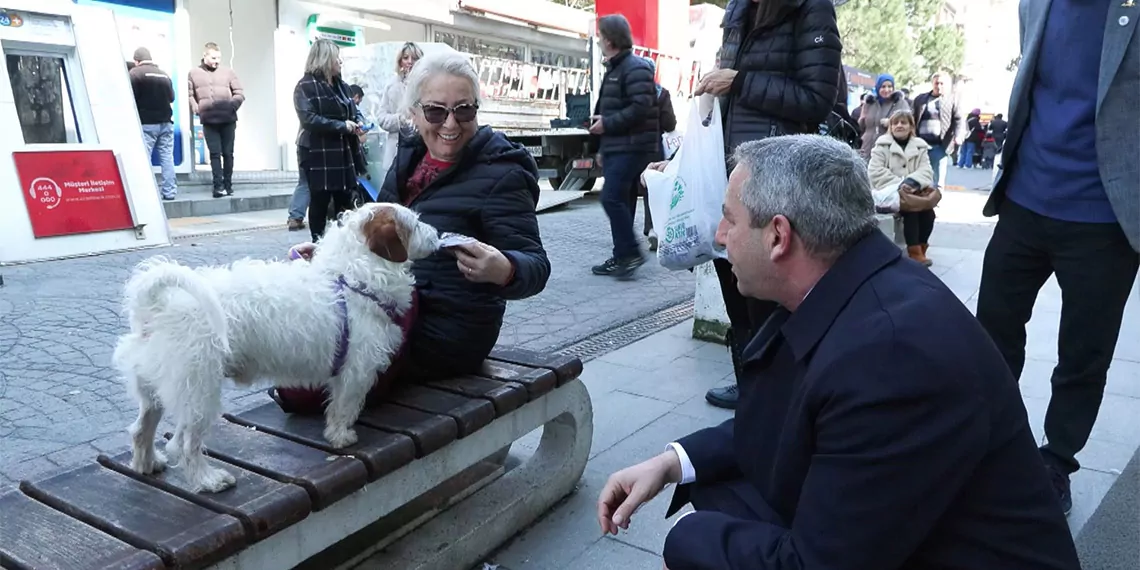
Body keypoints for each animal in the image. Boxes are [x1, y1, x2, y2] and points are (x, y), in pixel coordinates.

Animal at [112, 202, 440, 492]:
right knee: (184, 443)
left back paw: (147, 464)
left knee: (141, 429)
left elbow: (337, 405)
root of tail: (156, 306)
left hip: (154, 390)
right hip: (197, 392)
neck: (350, 278)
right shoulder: (355, 371)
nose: (438, 235)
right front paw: (340, 438)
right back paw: (208, 480)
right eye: (414, 224)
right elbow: (344, 407)